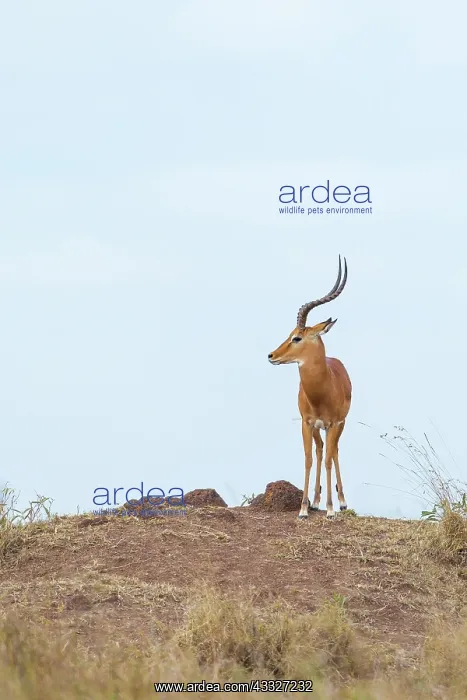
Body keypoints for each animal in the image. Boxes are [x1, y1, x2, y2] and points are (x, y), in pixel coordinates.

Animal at [268, 255, 351, 519]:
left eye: (297, 337)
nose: (271, 355)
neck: (321, 392)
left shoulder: (333, 424)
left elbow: (328, 460)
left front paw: (331, 509)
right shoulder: (306, 423)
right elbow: (308, 459)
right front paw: (303, 508)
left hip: (339, 425)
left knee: (333, 452)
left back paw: (341, 502)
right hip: (317, 428)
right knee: (321, 450)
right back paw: (315, 501)